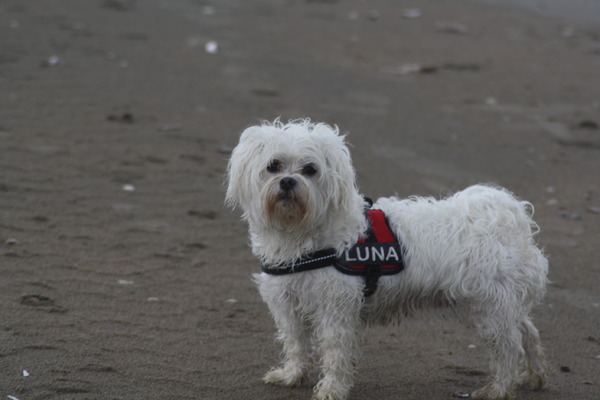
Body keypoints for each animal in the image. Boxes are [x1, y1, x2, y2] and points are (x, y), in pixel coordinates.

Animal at [225, 119, 548, 400]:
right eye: (273, 166)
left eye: (310, 169)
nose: (288, 182)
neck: (303, 234)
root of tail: (509, 217)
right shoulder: (286, 303)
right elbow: (295, 343)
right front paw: (292, 375)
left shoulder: (335, 307)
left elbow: (335, 350)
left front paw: (332, 389)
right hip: (500, 303)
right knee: (528, 333)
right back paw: (533, 377)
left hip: (489, 307)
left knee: (509, 348)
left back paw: (498, 389)